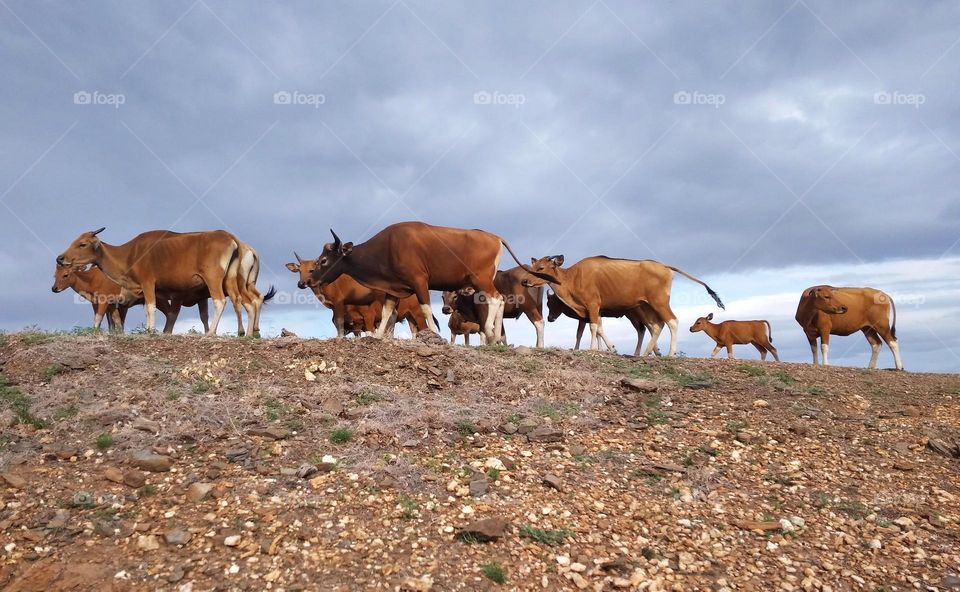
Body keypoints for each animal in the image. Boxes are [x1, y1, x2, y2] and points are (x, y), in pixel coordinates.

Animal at [56, 228, 242, 335]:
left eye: (82, 244)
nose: (60, 258)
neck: (130, 253)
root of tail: (230, 238)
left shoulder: (148, 284)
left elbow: (150, 308)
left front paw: (150, 331)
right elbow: (146, 310)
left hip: (213, 279)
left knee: (220, 301)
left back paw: (210, 333)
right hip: (230, 280)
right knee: (237, 300)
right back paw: (241, 332)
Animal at [306, 222, 557, 344]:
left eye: (324, 260)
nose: (311, 280)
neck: (388, 246)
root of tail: (495, 237)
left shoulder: (420, 282)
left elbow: (426, 309)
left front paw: (436, 334)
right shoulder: (394, 288)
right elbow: (387, 313)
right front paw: (376, 337)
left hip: (481, 279)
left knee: (496, 299)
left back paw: (490, 333)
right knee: (501, 299)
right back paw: (494, 336)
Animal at [524, 255, 723, 356]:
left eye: (541, 268)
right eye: (532, 266)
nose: (525, 280)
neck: (573, 276)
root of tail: (664, 266)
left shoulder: (593, 305)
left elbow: (593, 328)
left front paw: (593, 349)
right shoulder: (593, 310)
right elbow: (599, 328)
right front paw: (610, 348)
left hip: (659, 302)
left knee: (672, 322)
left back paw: (670, 353)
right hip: (647, 307)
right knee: (655, 326)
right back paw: (646, 353)